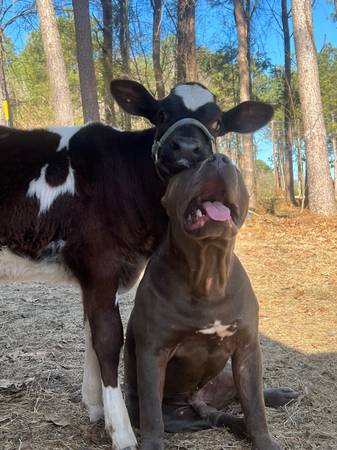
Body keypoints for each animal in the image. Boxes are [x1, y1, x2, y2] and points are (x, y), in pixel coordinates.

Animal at [0, 81, 272, 450]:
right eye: (162, 113)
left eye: (217, 124)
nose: (187, 147)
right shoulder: (101, 263)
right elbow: (107, 338)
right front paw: (122, 431)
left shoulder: (97, 274)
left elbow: (90, 332)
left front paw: (95, 407)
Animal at [124, 155, 296, 450]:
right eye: (188, 166)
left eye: (234, 166)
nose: (219, 157)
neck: (209, 275)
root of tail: (199, 399)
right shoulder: (153, 352)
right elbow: (152, 415)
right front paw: (152, 444)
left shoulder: (247, 350)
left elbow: (255, 408)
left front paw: (264, 441)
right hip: (184, 415)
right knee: (216, 417)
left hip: (226, 374)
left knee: (241, 401)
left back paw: (279, 395)